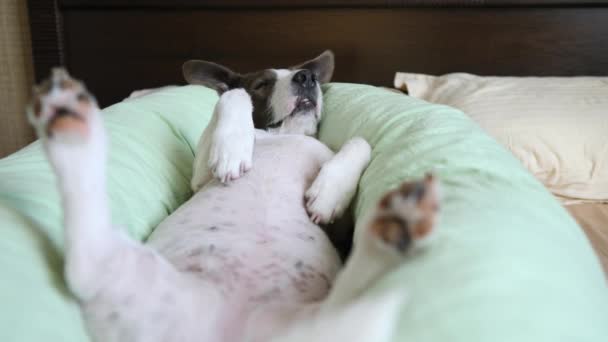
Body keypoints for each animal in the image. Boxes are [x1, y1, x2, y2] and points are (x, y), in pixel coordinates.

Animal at [28, 51, 440, 342]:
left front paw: (327, 193)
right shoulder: (199, 175)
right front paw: (233, 147)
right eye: (262, 84)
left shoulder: (341, 222)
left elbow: (360, 142)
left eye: (302, 73)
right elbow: (232, 98)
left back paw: (394, 229)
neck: (282, 134)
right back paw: (70, 122)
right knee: (87, 258)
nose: (307, 78)